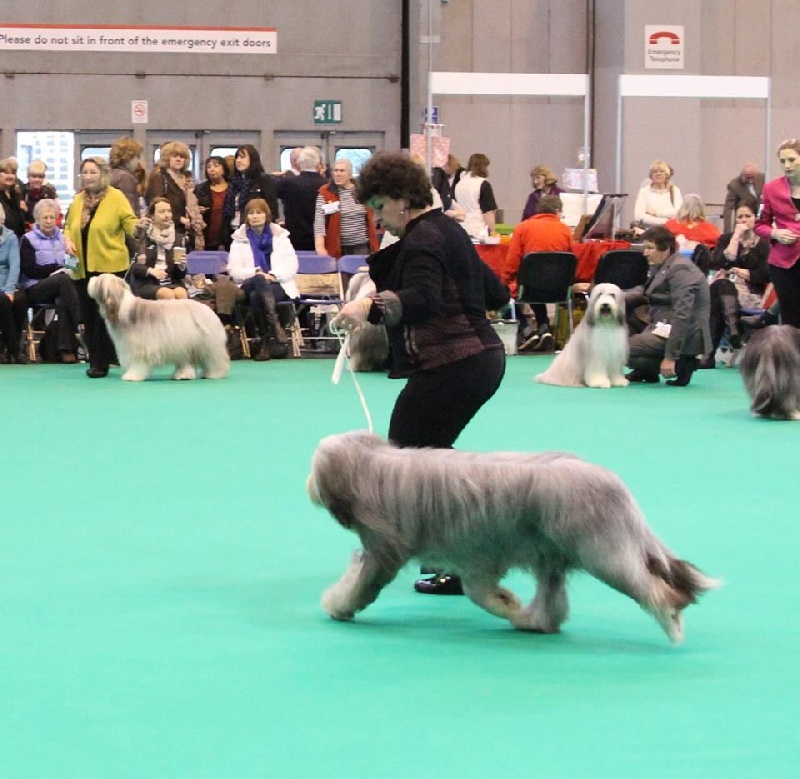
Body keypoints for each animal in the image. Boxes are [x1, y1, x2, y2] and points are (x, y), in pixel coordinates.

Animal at [88, 276, 230, 382]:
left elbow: (137, 363)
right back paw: (182, 375)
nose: (91, 278)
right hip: (185, 344)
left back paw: (214, 374)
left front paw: (132, 376)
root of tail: (208, 310)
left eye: (99, 280)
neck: (122, 307)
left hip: (206, 344)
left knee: (215, 359)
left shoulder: (139, 347)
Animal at [308, 430, 720, 644]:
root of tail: (615, 485)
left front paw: (338, 605)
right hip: (552, 555)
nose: (309, 485)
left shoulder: (390, 549)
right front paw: (508, 602)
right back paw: (534, 622)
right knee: (553, 600)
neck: (369, 465)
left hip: (606, 551)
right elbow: (481, 591)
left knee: (651, 587)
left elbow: (362, 582)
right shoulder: (479, 556)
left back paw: (672, 620)